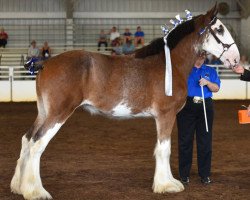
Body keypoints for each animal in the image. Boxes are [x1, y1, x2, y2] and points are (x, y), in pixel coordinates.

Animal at [10, 4, 239, 200]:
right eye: (219, 29)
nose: (236, 59)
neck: (170, 64)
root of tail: (46, 62)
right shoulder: (165, 115)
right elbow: (164, 149)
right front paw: (166, 185)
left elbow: (162, 148)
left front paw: (168, 182)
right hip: (58, 114)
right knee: (36, 144)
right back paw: (36, 191)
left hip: (44, 112)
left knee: (26, 140)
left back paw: (19, 187)